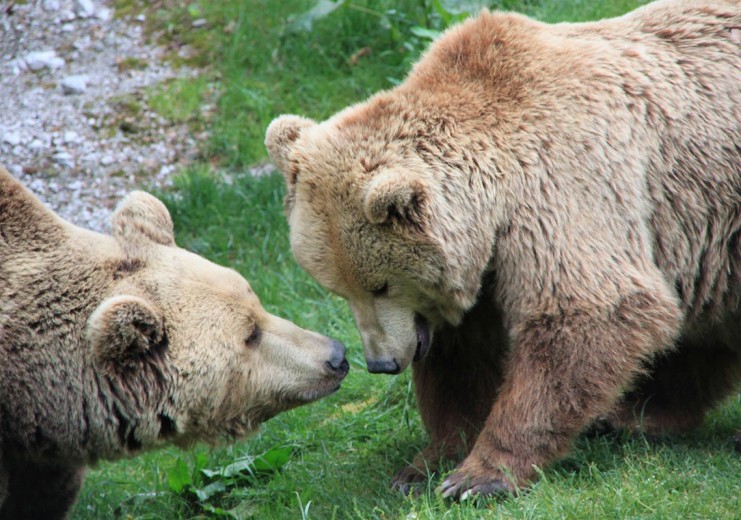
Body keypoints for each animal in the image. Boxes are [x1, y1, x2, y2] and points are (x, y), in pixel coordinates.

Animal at [266, 0, 740, 500]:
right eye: (339, 290)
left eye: (380, 285)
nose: (381, 363)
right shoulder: (482, 273)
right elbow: (462, 362)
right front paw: (424, 465)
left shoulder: (561, 188)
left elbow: (587, 314)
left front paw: (478, 477)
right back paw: (634, 415)